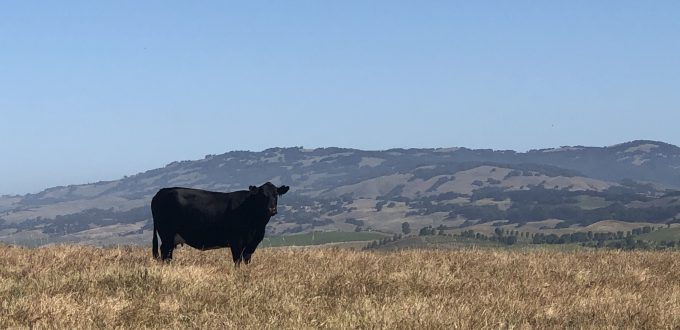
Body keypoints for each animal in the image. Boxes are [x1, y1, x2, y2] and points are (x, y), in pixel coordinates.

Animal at [151, 182, 290, 264]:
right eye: (263, 195)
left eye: (276, 195)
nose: (272, 209)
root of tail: (162, 191)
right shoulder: (236, 241)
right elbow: (237, 261)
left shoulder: (252, 243)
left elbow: (247, 260)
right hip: (167, 234)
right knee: (165, 252)